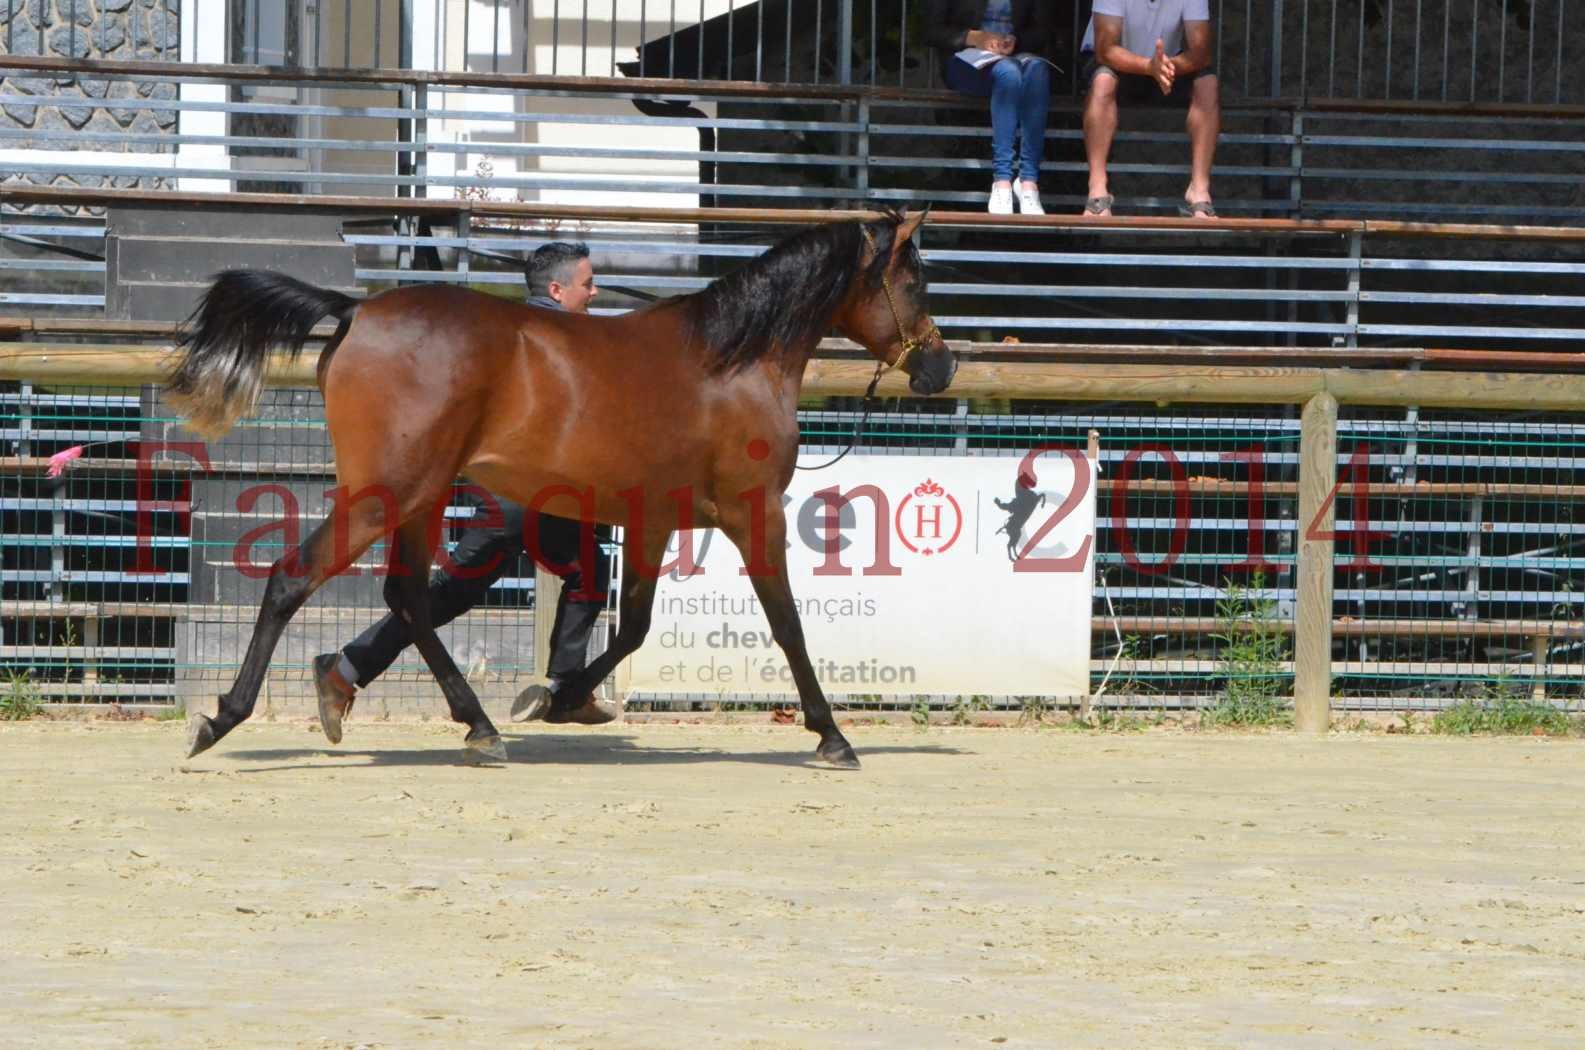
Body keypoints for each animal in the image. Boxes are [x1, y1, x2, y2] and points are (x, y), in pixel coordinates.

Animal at [167, 209, 951, 770]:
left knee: (409, 598)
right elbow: (787, 625)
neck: (735, 361)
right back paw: (222, 719)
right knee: (292, 578)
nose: (939, 368)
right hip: (383, 492)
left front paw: (558, 695)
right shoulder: (752, 512)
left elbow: (631, 625)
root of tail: (357, 310)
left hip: (421, 497)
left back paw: (470, 725)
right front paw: (832, 735)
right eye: (914, 281)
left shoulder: (653, 521)